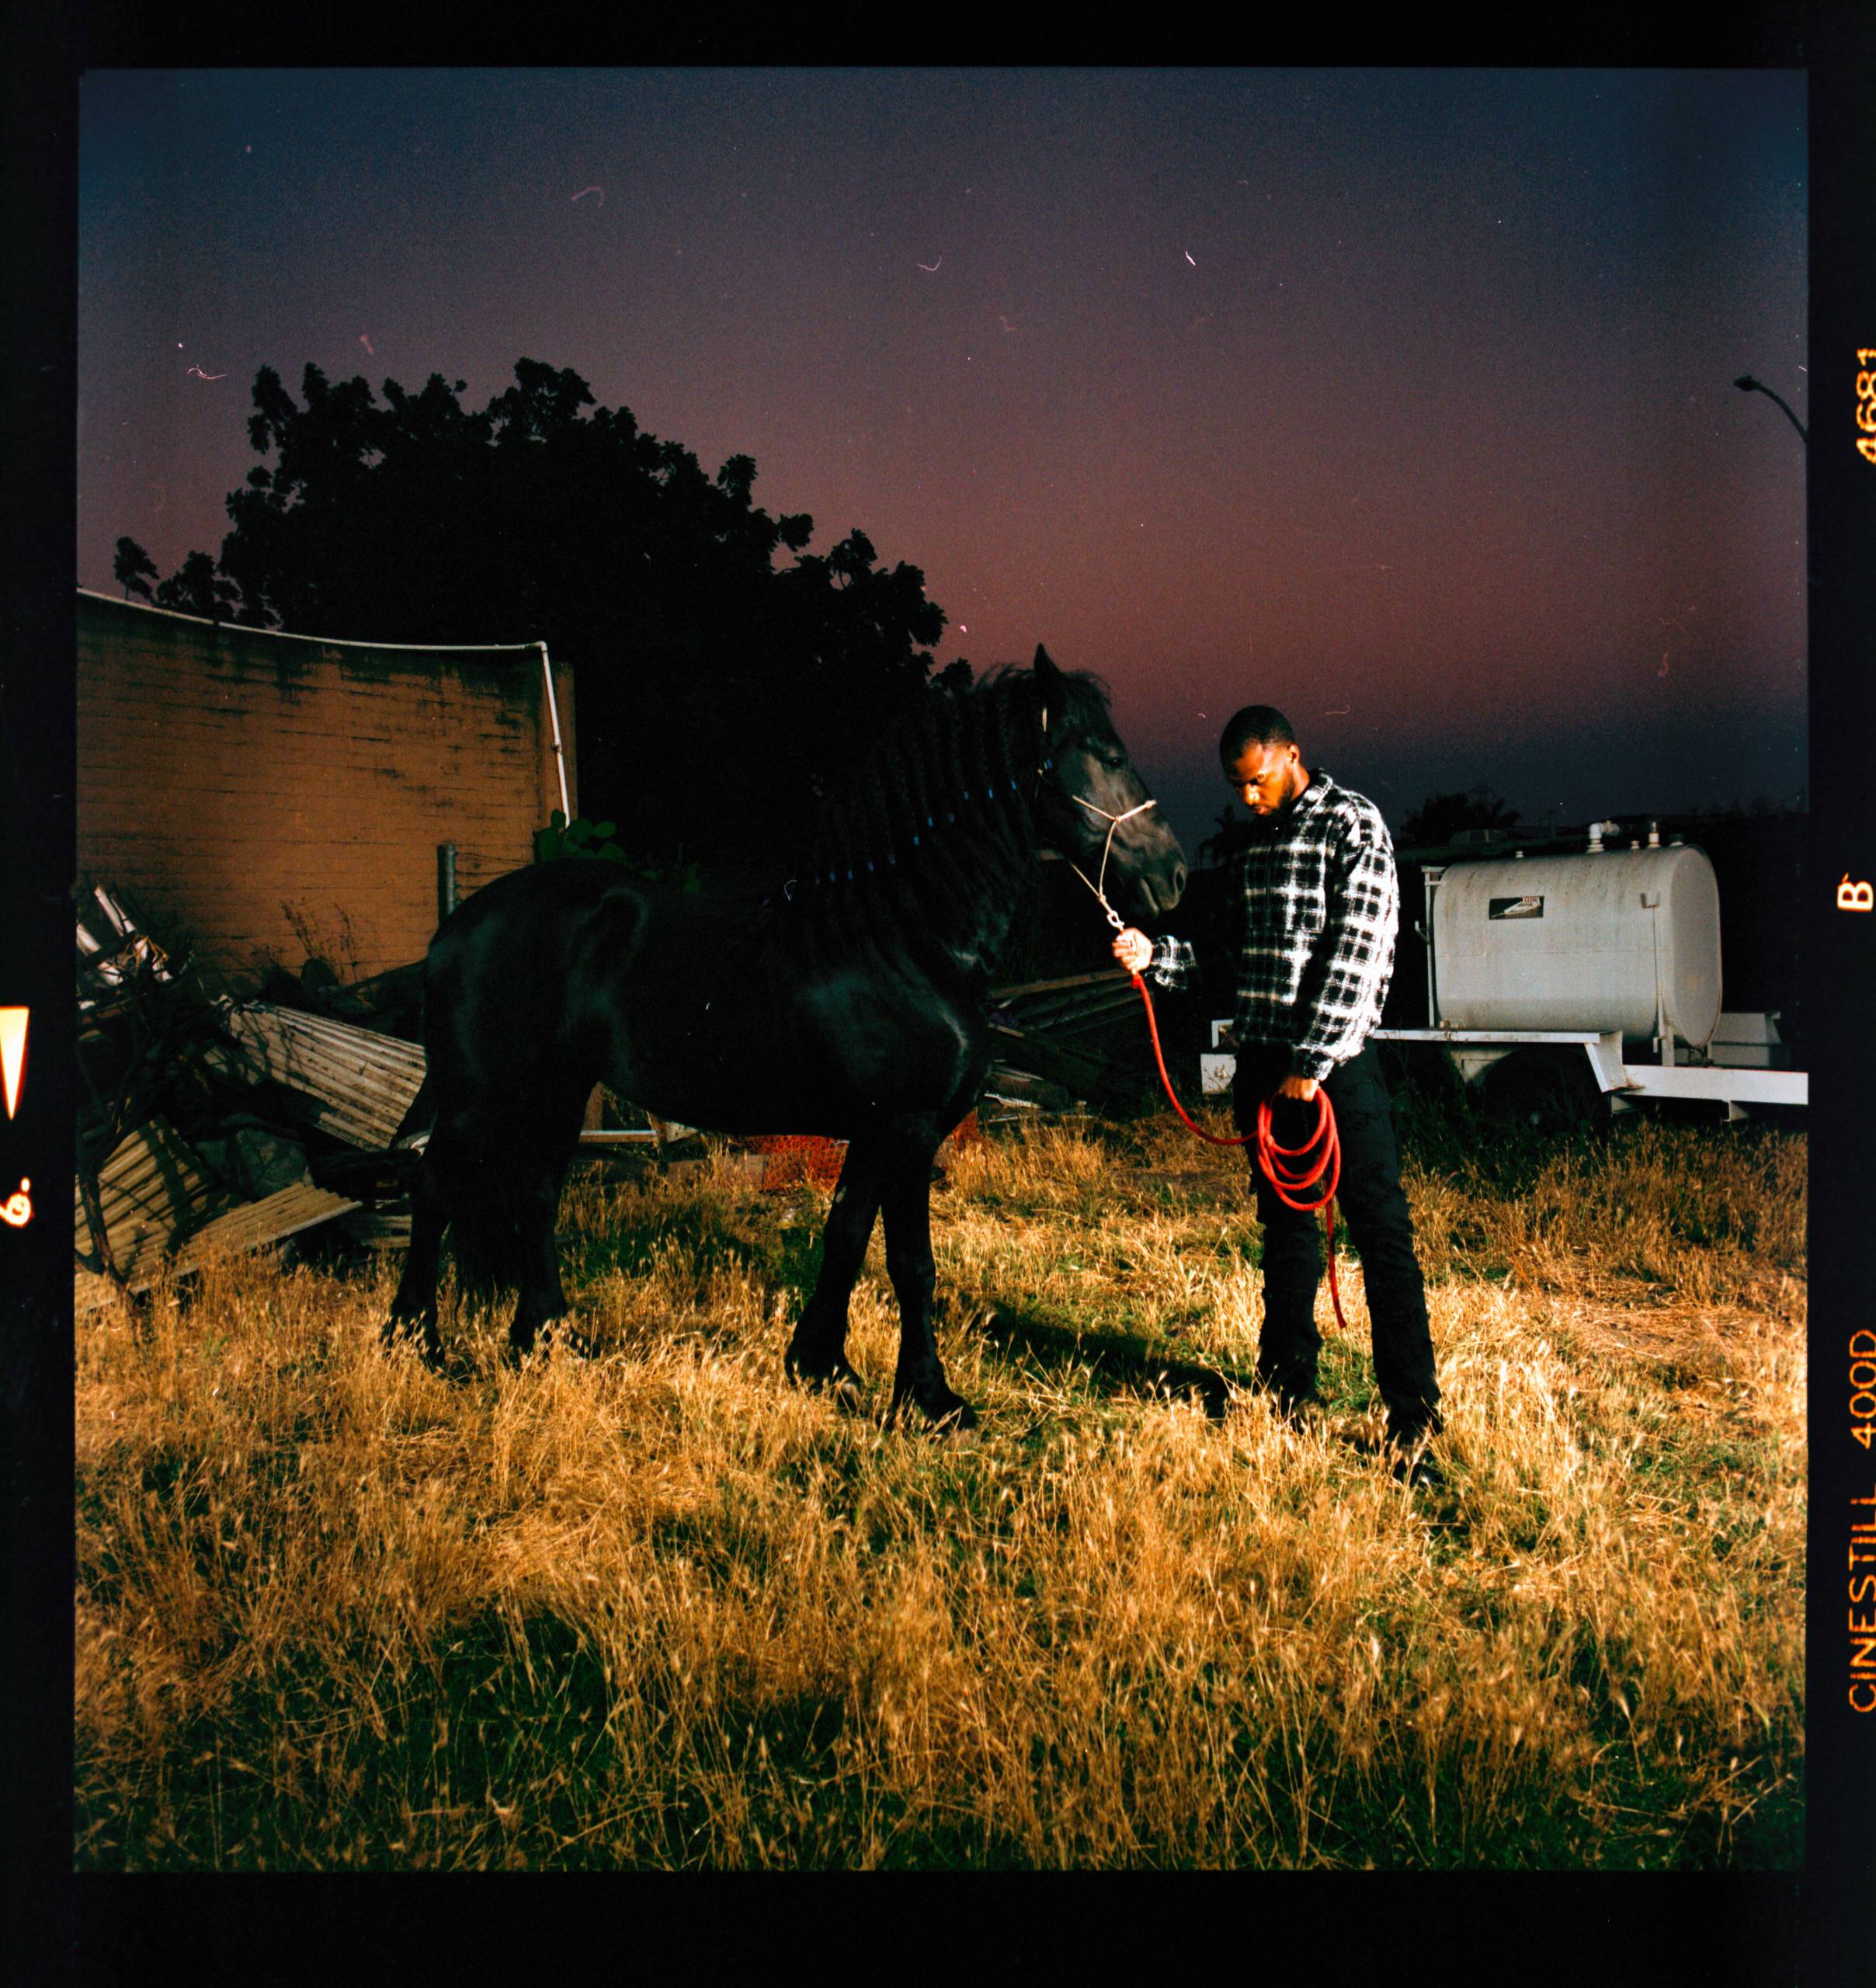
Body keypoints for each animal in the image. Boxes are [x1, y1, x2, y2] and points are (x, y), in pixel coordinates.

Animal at [385, 644, 1184, 1423]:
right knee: (433, 1188)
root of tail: (451, 931)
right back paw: (418, 1345)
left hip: (557, 1091)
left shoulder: (874, 1131)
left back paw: (548, 1339)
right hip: (480, 1097)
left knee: (535, 1197)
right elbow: (911, 1264)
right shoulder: (910, 1129)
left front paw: (822, 1366)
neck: (905, 939)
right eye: (1108, 754)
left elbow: (847, 1236)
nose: (1173, 873)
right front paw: (929, 1398)